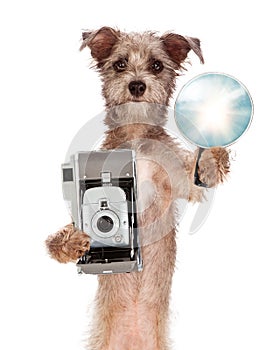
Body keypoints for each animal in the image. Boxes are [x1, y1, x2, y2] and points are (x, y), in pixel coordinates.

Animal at [46, 28, 230, 350]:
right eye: (120, 64)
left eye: (156, 65)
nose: (136, 85)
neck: (136, 136)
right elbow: (64, 232)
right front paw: (71, 242)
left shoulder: (180, 181)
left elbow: (196, 175)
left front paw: (212, 156)